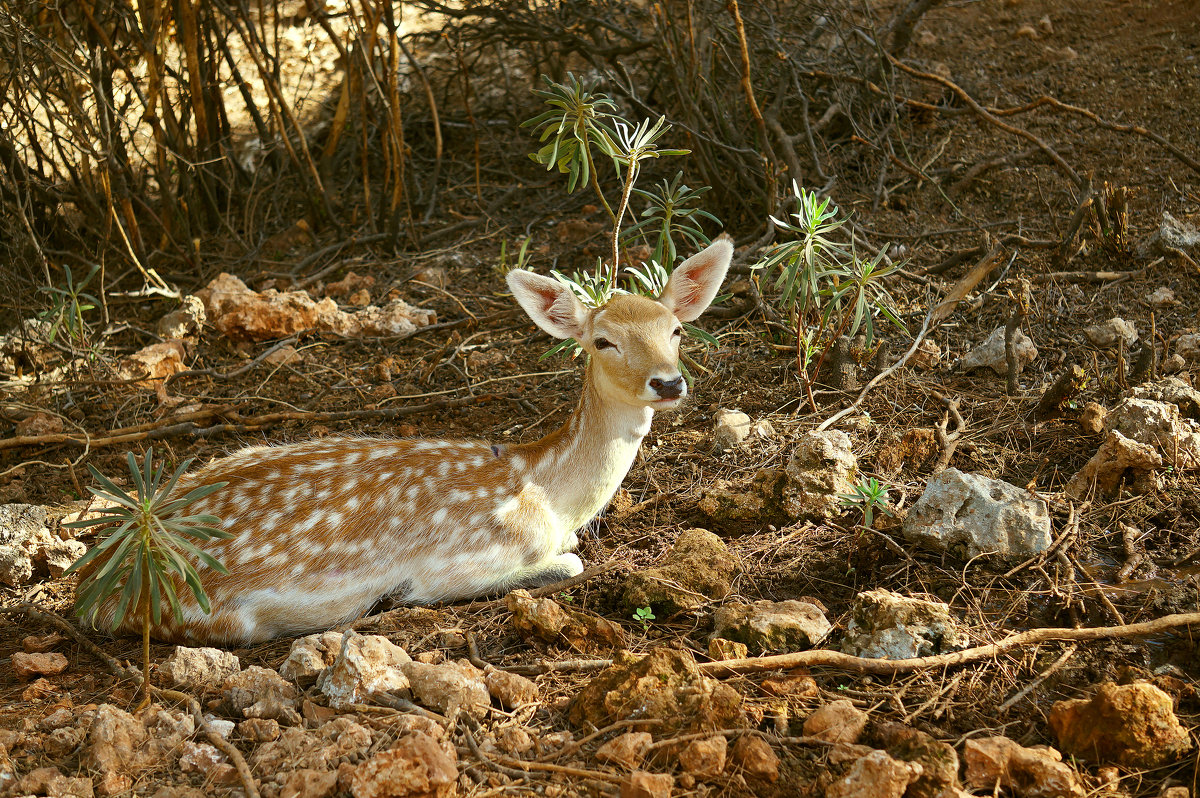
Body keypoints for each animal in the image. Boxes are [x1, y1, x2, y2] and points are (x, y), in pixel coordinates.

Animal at [82, 235, 729, 643]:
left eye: (676, 329)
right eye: (603, 341)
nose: (668, 382)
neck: (544, 488)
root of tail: (96, 590)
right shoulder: (458, 561)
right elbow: (567, 563)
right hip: (214, 614)